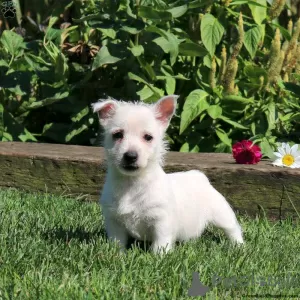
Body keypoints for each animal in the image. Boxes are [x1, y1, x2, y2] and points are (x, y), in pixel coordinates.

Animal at [93, 94, 244, 253]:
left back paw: (238, 246)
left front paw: (159, 256)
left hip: (221, 213)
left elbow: (160, 243)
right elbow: (118, 242)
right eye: (117, 135)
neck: (131, 183)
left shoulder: (162, 221)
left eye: (148, 137)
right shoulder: (114, 222)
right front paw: (118, 254)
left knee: (233, 229)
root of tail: (199, 176)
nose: (130, 156)